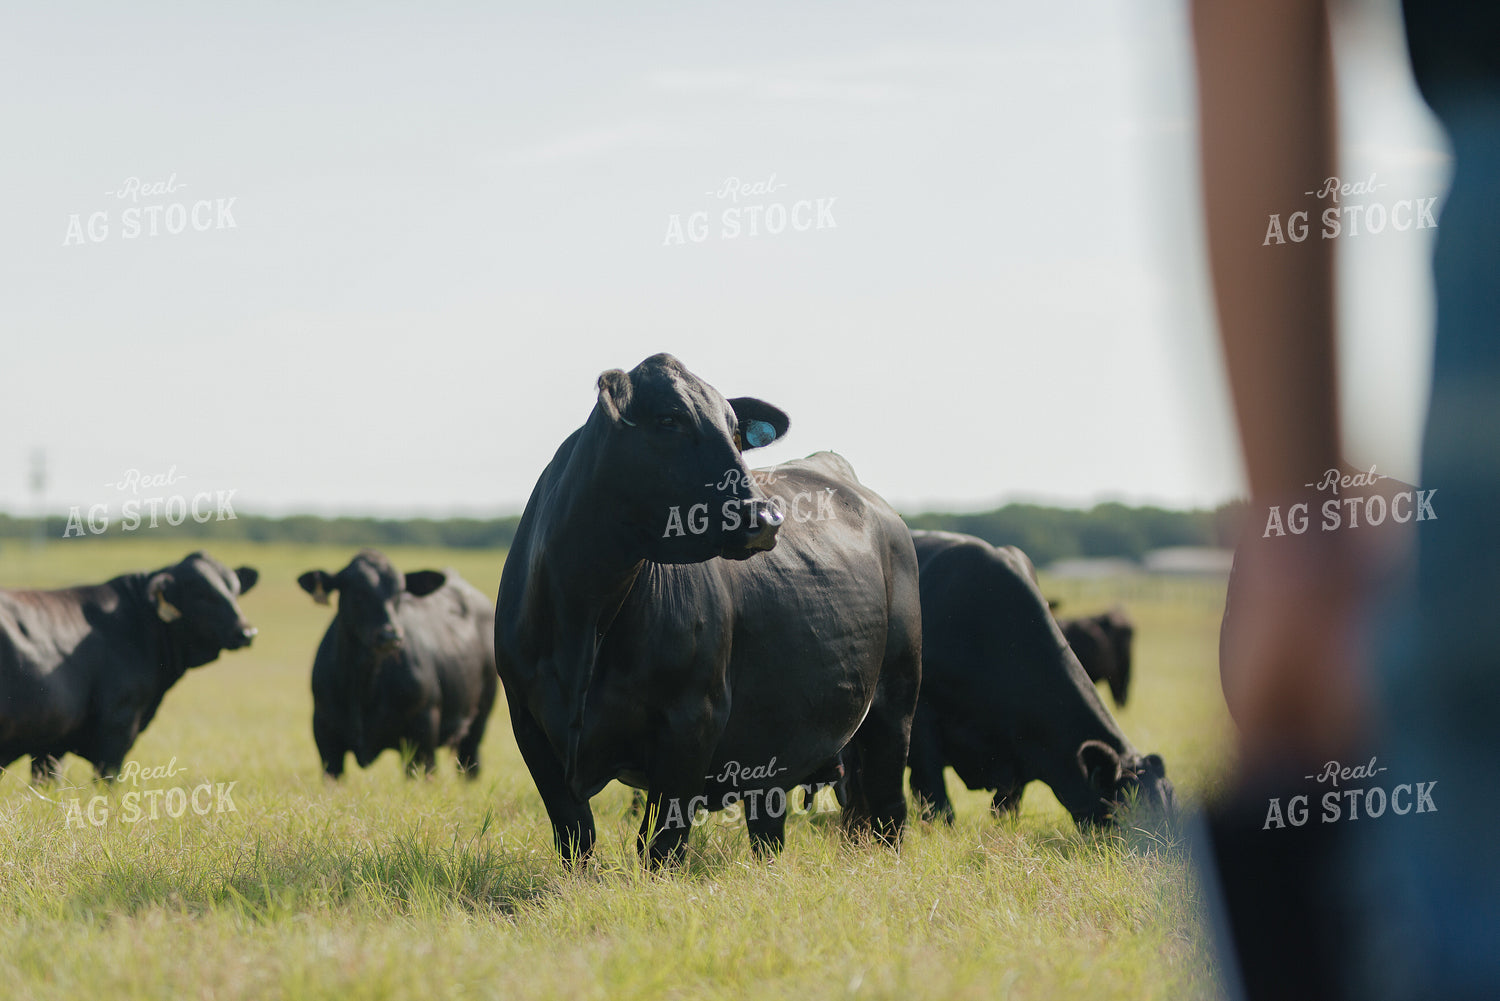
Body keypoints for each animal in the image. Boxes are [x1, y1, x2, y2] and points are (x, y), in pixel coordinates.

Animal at [298, 550, 497, 779]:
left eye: (400, 593)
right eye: (357, 592)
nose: (390, 635)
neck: (364, 686)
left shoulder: (422, 732)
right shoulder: (326, 737)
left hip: (480, 717)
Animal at [495, 353, 922, 867]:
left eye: (737, 432)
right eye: (669, 419)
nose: (764, 516)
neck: (586, 617)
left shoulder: (693, 718)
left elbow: (661, 845)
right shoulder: (528, 723)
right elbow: (575, 835)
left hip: (895, 701)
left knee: (888, 808)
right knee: (774, 823)